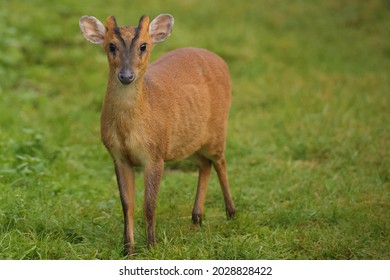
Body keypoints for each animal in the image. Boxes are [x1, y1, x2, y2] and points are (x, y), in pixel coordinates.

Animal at [80, 13, 235, 256]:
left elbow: (149, 204)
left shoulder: (155, 153)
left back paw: (231, 212)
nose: (126, 75)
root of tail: (220, 60)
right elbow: (127, 204)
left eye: (143, 46)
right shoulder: (118, 156)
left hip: (218, 128)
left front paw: (152, 246)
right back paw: (196, 219)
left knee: (220, 161)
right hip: (189, 140)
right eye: (111, 45)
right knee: (204, 164)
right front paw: (128, 249)